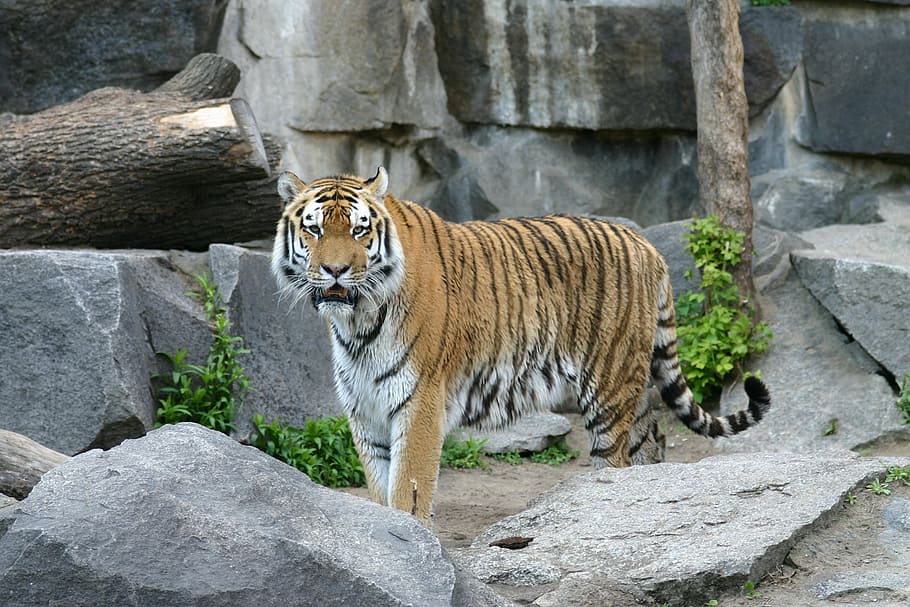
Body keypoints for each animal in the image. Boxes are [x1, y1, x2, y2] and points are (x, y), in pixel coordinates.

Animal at [271, 167, 771, 524]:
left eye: (359, 231)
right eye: (315, 230)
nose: (336, 271)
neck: (358, 322)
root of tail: (645, 242)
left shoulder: (419, 402)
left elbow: (408, 488)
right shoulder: (365, 408)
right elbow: (379, 488)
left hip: (608, 386)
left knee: (614, 459)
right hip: (634, 380)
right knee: (653, 439)